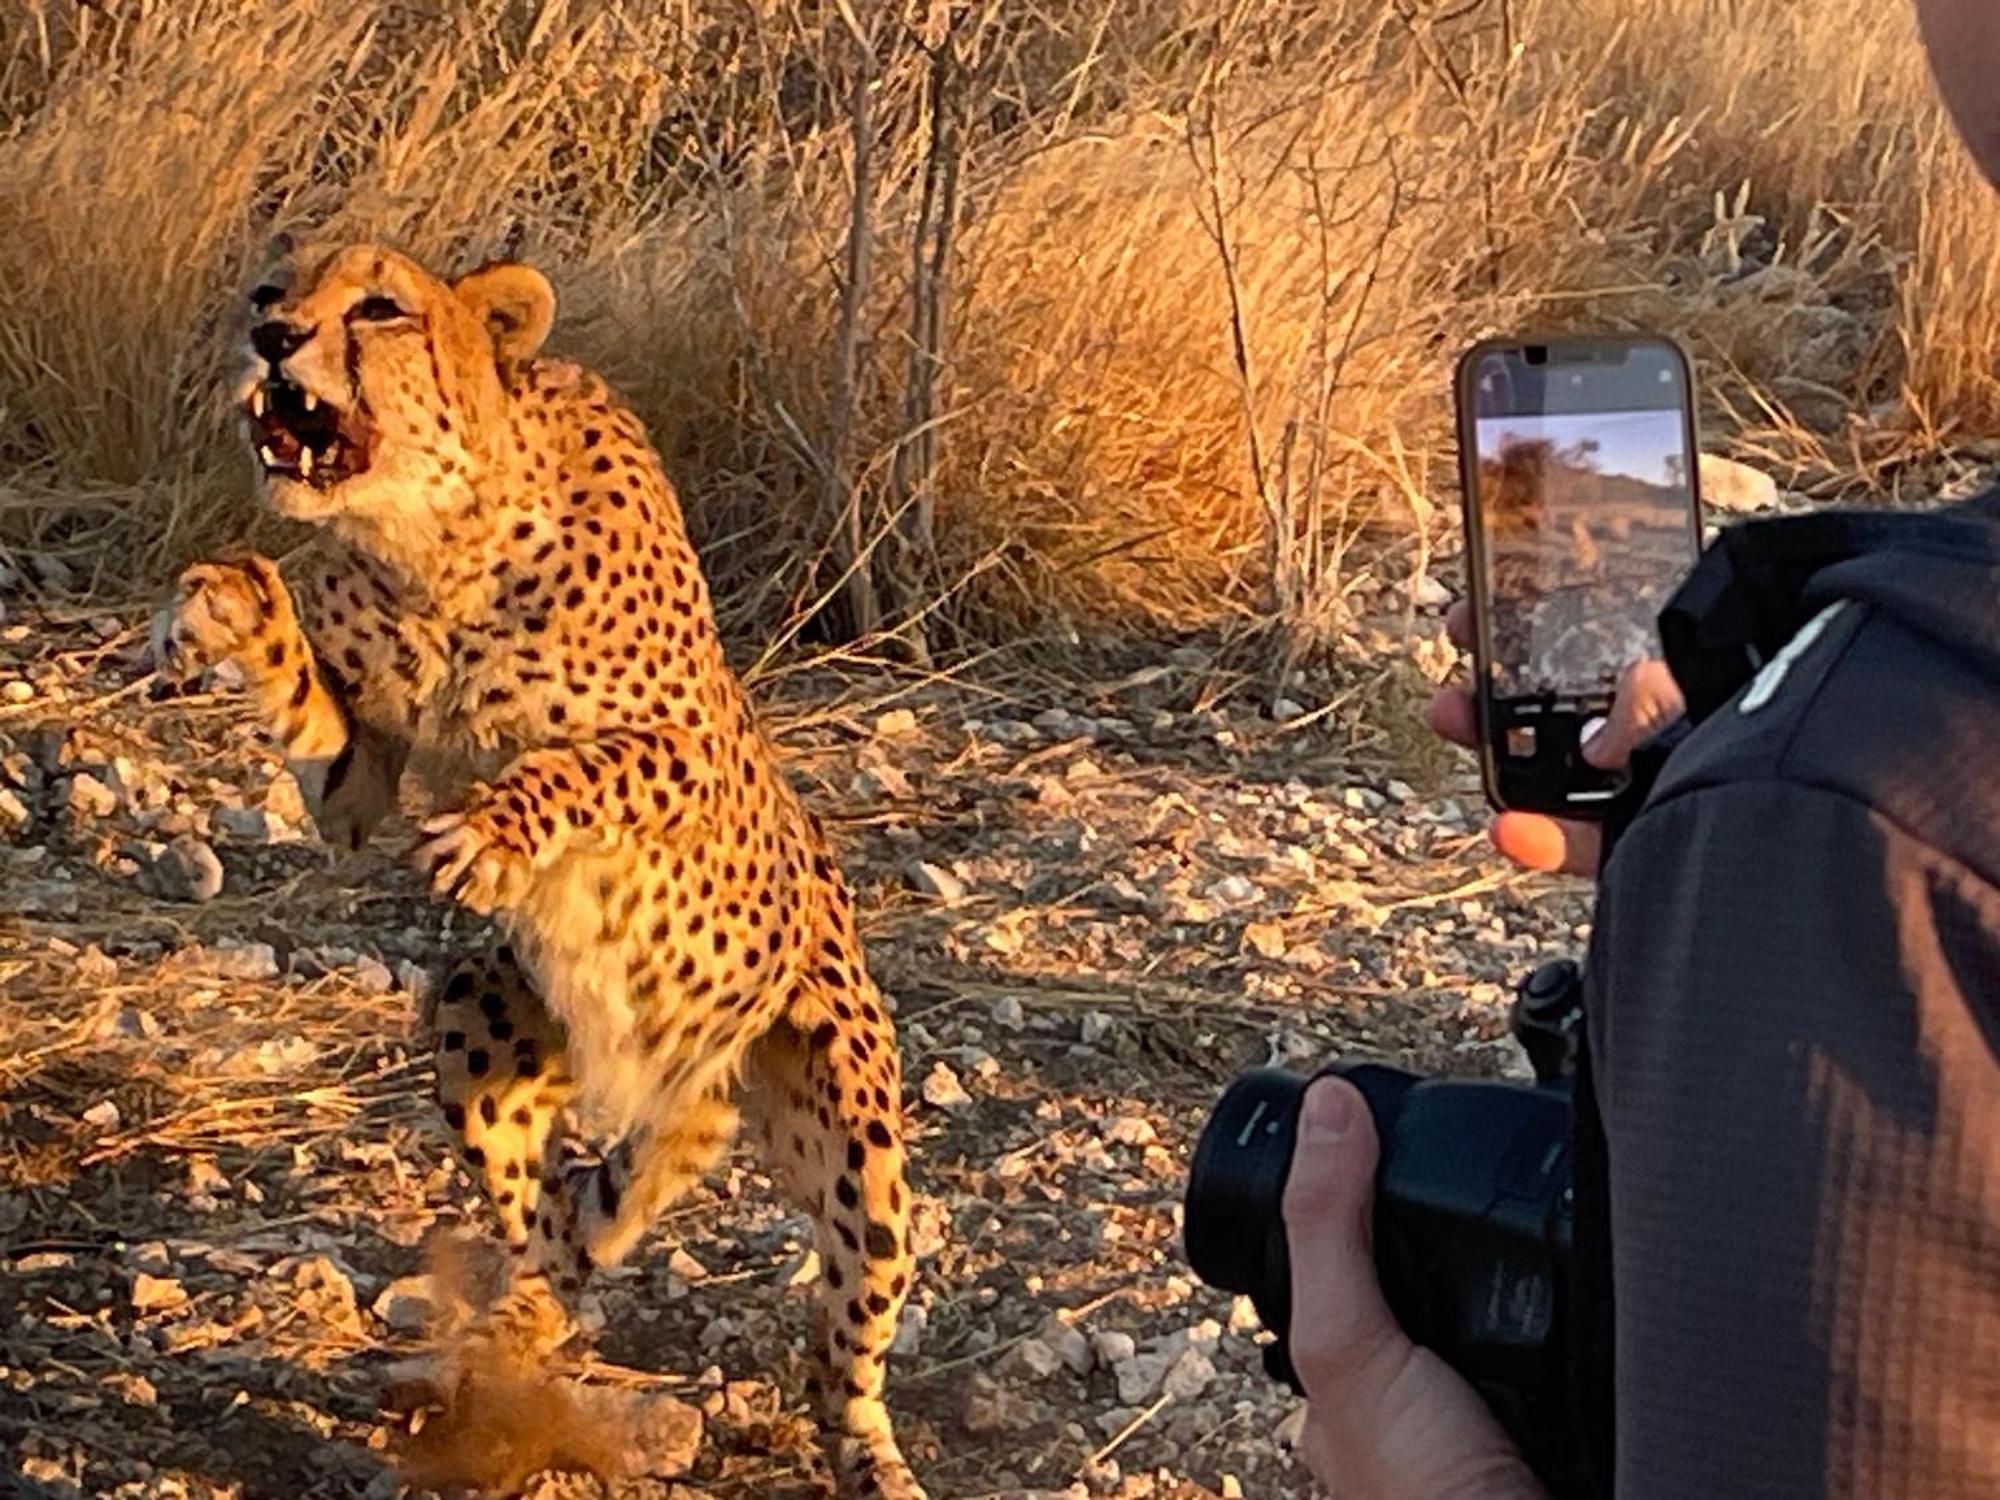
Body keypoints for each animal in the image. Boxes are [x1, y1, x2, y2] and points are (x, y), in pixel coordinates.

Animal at [154, 244, 928, 1496]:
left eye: (379, 306)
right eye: (273, 288)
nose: (268, 335)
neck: (433, 541)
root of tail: (679, 1082)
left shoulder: (687, 750)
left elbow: (582, 765)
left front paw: (496, 830)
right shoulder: (359, 775)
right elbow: (312, 705)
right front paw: (225, 609)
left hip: (852, 1128)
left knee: (843, 1348)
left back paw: (869, 1457)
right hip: (483, 1008)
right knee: (557, 1225)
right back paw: (519, 1310)